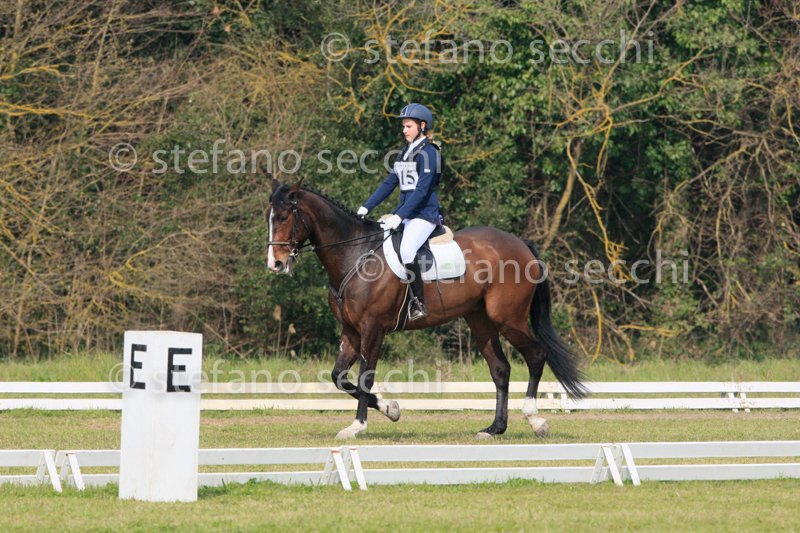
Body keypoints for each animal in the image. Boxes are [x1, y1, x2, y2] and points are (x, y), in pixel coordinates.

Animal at [266, 178, 586, 439]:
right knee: (500, 368)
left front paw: (358, 425)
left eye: (283, 217)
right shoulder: (351, 332)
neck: (354, 255)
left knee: (536, 355)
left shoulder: (373, 329)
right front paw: (391, 408)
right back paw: (495, 428)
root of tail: (521, 244)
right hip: (480, 320)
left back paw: (535, 420)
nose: (275, 263)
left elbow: (365, 375)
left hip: (508, 318)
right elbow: (339, 377)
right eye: (270, 218)